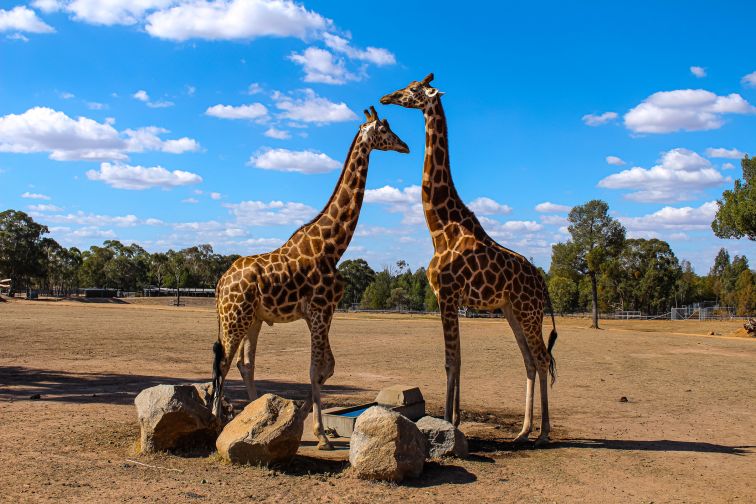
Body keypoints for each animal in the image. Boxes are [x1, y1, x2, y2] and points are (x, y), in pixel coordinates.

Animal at [210, 106, 410, 448]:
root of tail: (221, 283)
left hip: (253, 319)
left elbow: (327, 367)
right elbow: (315, 367)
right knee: (224, 362)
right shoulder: (318, 311)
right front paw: (320, 435)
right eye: (385, 129)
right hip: (234, 317)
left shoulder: (324, 312)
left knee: (244, 364)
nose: (406, 146)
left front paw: (309, 421)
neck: (332, 246)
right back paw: (215, 420)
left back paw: (248, 413)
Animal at [380, 75, 560, 444]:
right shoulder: (449, 299)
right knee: (529, 360)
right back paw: (522, 431)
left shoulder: (447, 295)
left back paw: (543, 433)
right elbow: (458, 359)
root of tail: (543, 284)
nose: (387, 97)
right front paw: (456, 421)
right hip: (511, 310)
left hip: (528, 311)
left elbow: (451, 361)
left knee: (541, 357)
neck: (440, 227)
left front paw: (449, 423)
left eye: (414, 89)